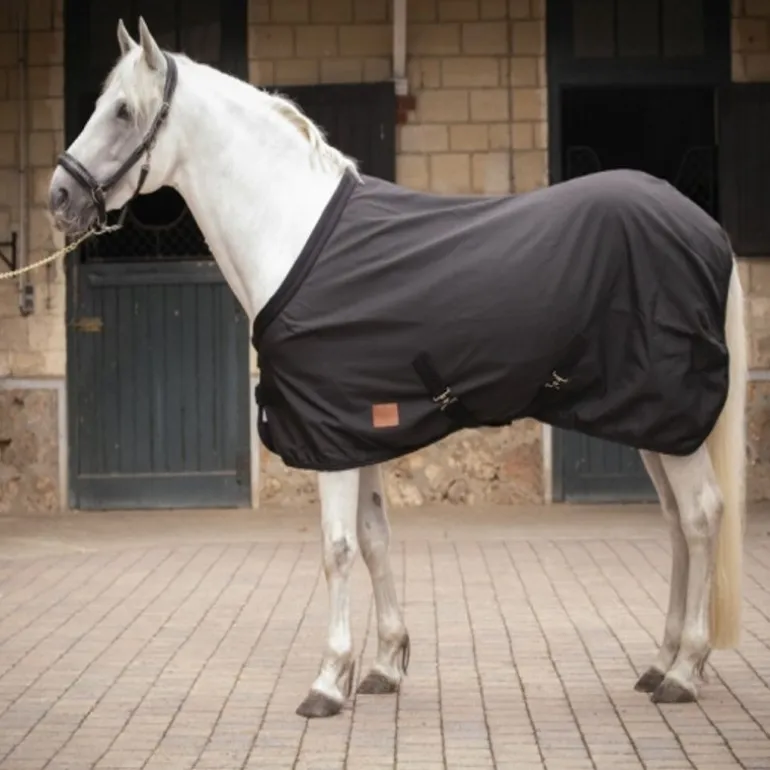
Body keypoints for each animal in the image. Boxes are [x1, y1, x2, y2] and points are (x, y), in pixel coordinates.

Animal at [48, 18, 747, 719]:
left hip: (672, 422)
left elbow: (336, 548)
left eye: (122, 110)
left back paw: (684, 671)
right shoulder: (357, 431)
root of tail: (708, 230)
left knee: (701, 517)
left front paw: (329, 681)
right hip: (653, 425)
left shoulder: (329, 438)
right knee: (676, 525)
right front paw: (384, 664)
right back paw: (659, 663)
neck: (294, 231)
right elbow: (375, 537)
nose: (59, 196)